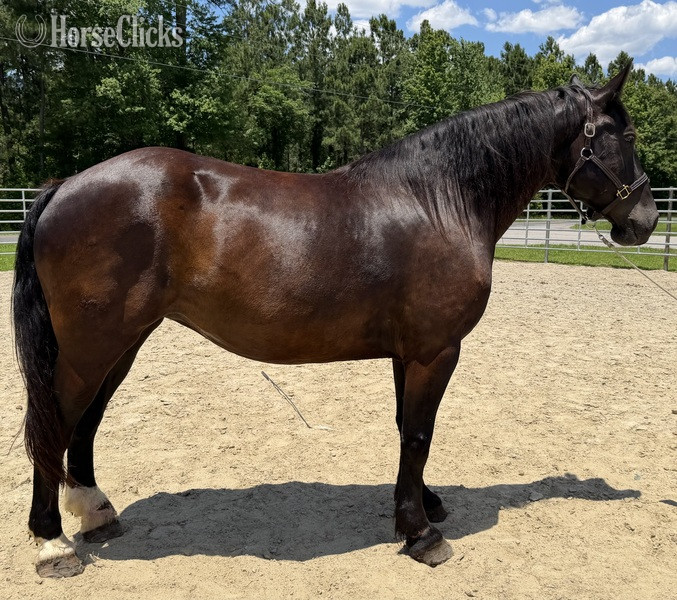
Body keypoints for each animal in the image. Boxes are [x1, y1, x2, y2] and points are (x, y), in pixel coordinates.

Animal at [12, 63, 658, 577]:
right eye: (624, 135)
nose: (647, 220)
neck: (438, 200)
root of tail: (64, 186)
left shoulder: (408, 351)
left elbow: (406, 430)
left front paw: (423, 505)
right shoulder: (435, 350)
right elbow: (419, 433)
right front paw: (421, 535)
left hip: (121, 343)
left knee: (85, 421)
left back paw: (94, 512)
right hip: (92, 346)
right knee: (55, 422)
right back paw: (52, 544)